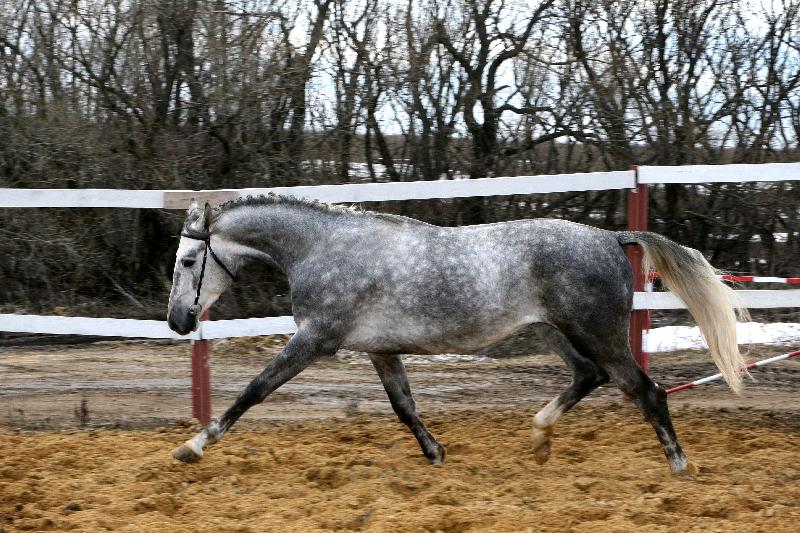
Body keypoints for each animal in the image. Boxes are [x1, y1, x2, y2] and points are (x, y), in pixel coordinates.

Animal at [167, 194, 747, 475]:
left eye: (189, 260)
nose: (178, 321)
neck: (325, 249)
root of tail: (610, 236)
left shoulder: (314, 339)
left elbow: (253, 391)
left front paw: (192, 447)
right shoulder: (381, 351)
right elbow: (404, 407)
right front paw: (436, 454)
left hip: (598, 333)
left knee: (646, 391)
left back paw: (679, 466)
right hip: (555, 331)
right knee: (590, 377)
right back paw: (539, 438)